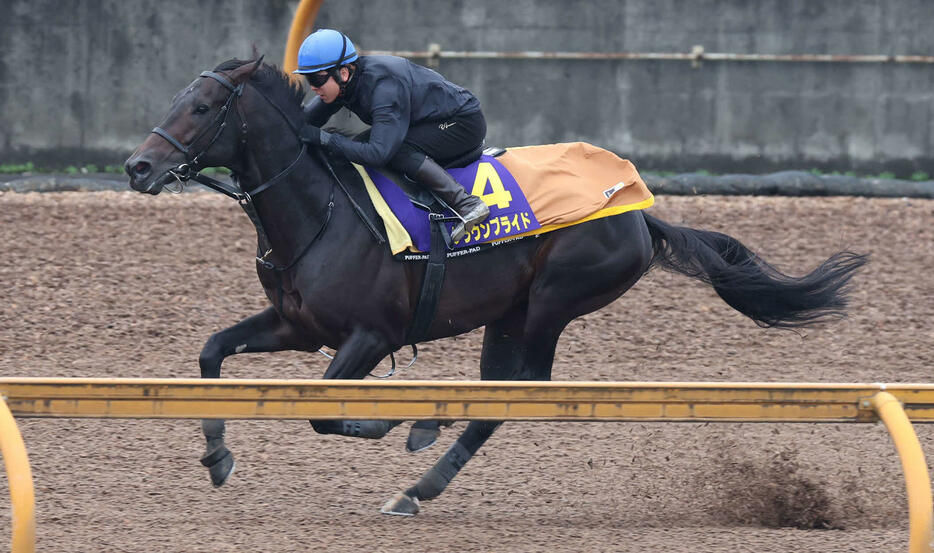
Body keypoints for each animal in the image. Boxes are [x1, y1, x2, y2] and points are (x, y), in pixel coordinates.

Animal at [124, 56, 872, 512]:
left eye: (203, 107)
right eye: (178, 99)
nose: (137, 166)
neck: (321, 209)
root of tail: (636, 208)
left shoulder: (370, 336)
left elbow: (325, 412)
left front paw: (389, 417)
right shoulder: (297, 326)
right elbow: (212, 352)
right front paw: (217, 454)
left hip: (550, 303)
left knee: (515, 394)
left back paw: (418, 480)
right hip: (507, 313)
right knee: (497, 391)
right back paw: (428, 441)